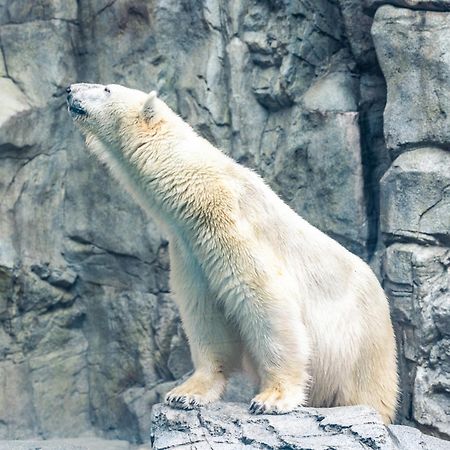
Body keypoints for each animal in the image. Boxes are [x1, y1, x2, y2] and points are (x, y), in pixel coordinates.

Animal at [67, 82, 398, 424]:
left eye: (106, 89)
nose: (69, 89)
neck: (198, 183)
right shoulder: (190, 251)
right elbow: (205, 313)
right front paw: (185, 393)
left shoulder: (232, 225)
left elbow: (267, 301)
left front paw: (271, 398)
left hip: (364, 346)